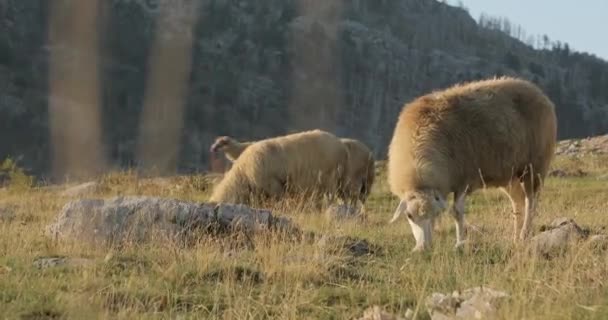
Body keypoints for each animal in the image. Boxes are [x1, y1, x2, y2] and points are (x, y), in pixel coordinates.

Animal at [390, 76, 556, 251]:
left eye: (435, 214)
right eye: (409, 216)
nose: (422, 248)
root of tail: (536, 90)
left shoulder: (464, 179)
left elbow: (456, 212)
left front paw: (459, 243)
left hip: (535, 167)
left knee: (531, 202)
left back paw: (525, 234)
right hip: (511, 176)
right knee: (518, 202)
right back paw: (516, 239)